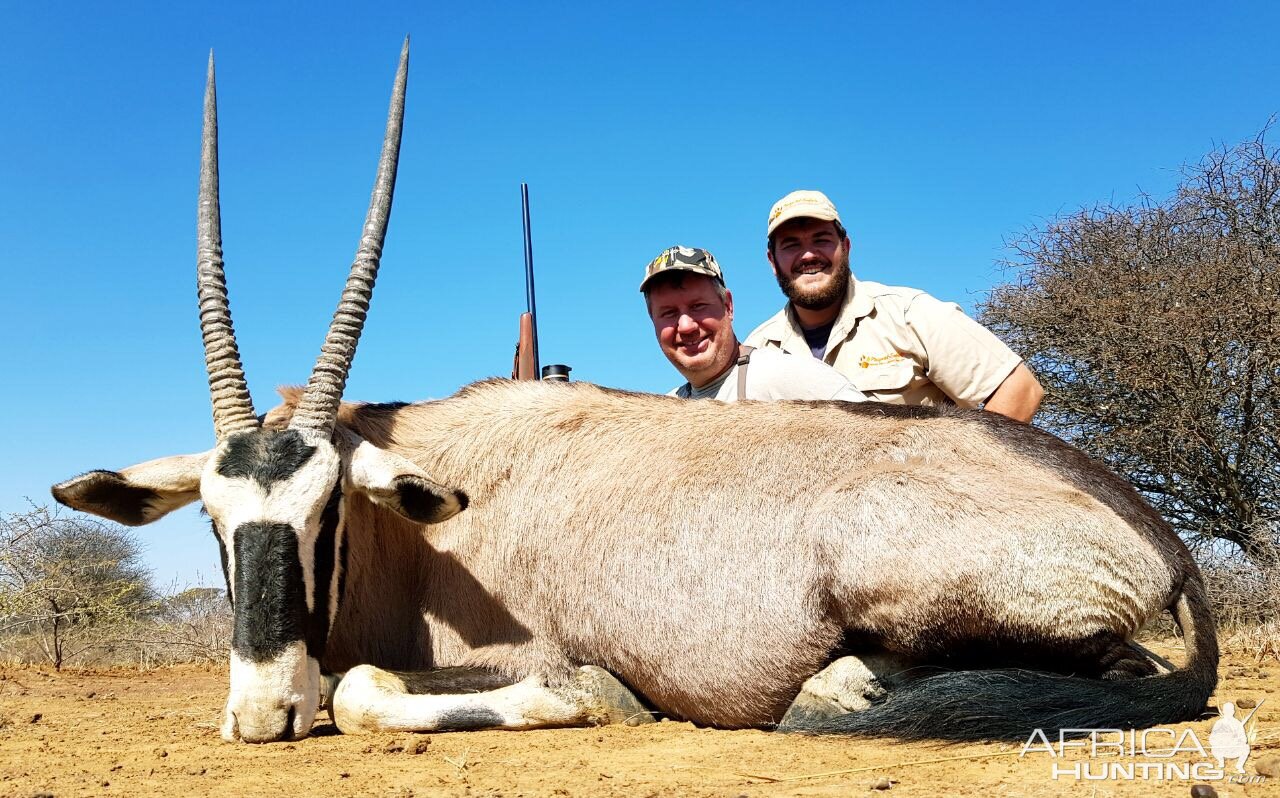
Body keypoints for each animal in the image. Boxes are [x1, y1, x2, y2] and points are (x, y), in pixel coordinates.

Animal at [55, 42, 1218, 742]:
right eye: (212, 519)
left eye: (328, 511)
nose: (261, 716)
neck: (428, 525)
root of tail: (1155, 534)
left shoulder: (507, 652)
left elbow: (362, 688)